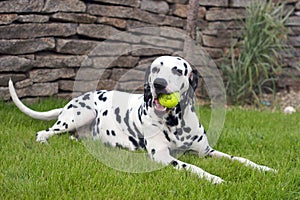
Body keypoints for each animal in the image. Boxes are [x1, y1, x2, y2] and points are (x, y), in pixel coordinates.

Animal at [8, 55, 276, 184]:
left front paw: (266, 168)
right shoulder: (163, 157)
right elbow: (193, 167)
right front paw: (215, 178)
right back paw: (45, 141)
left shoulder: (207, 151)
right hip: (81, 113)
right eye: (156, 68)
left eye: (177, 70)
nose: (158, 84)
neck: (176, 121)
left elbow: (240, 159)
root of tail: (69, 102)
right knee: (44, 132)